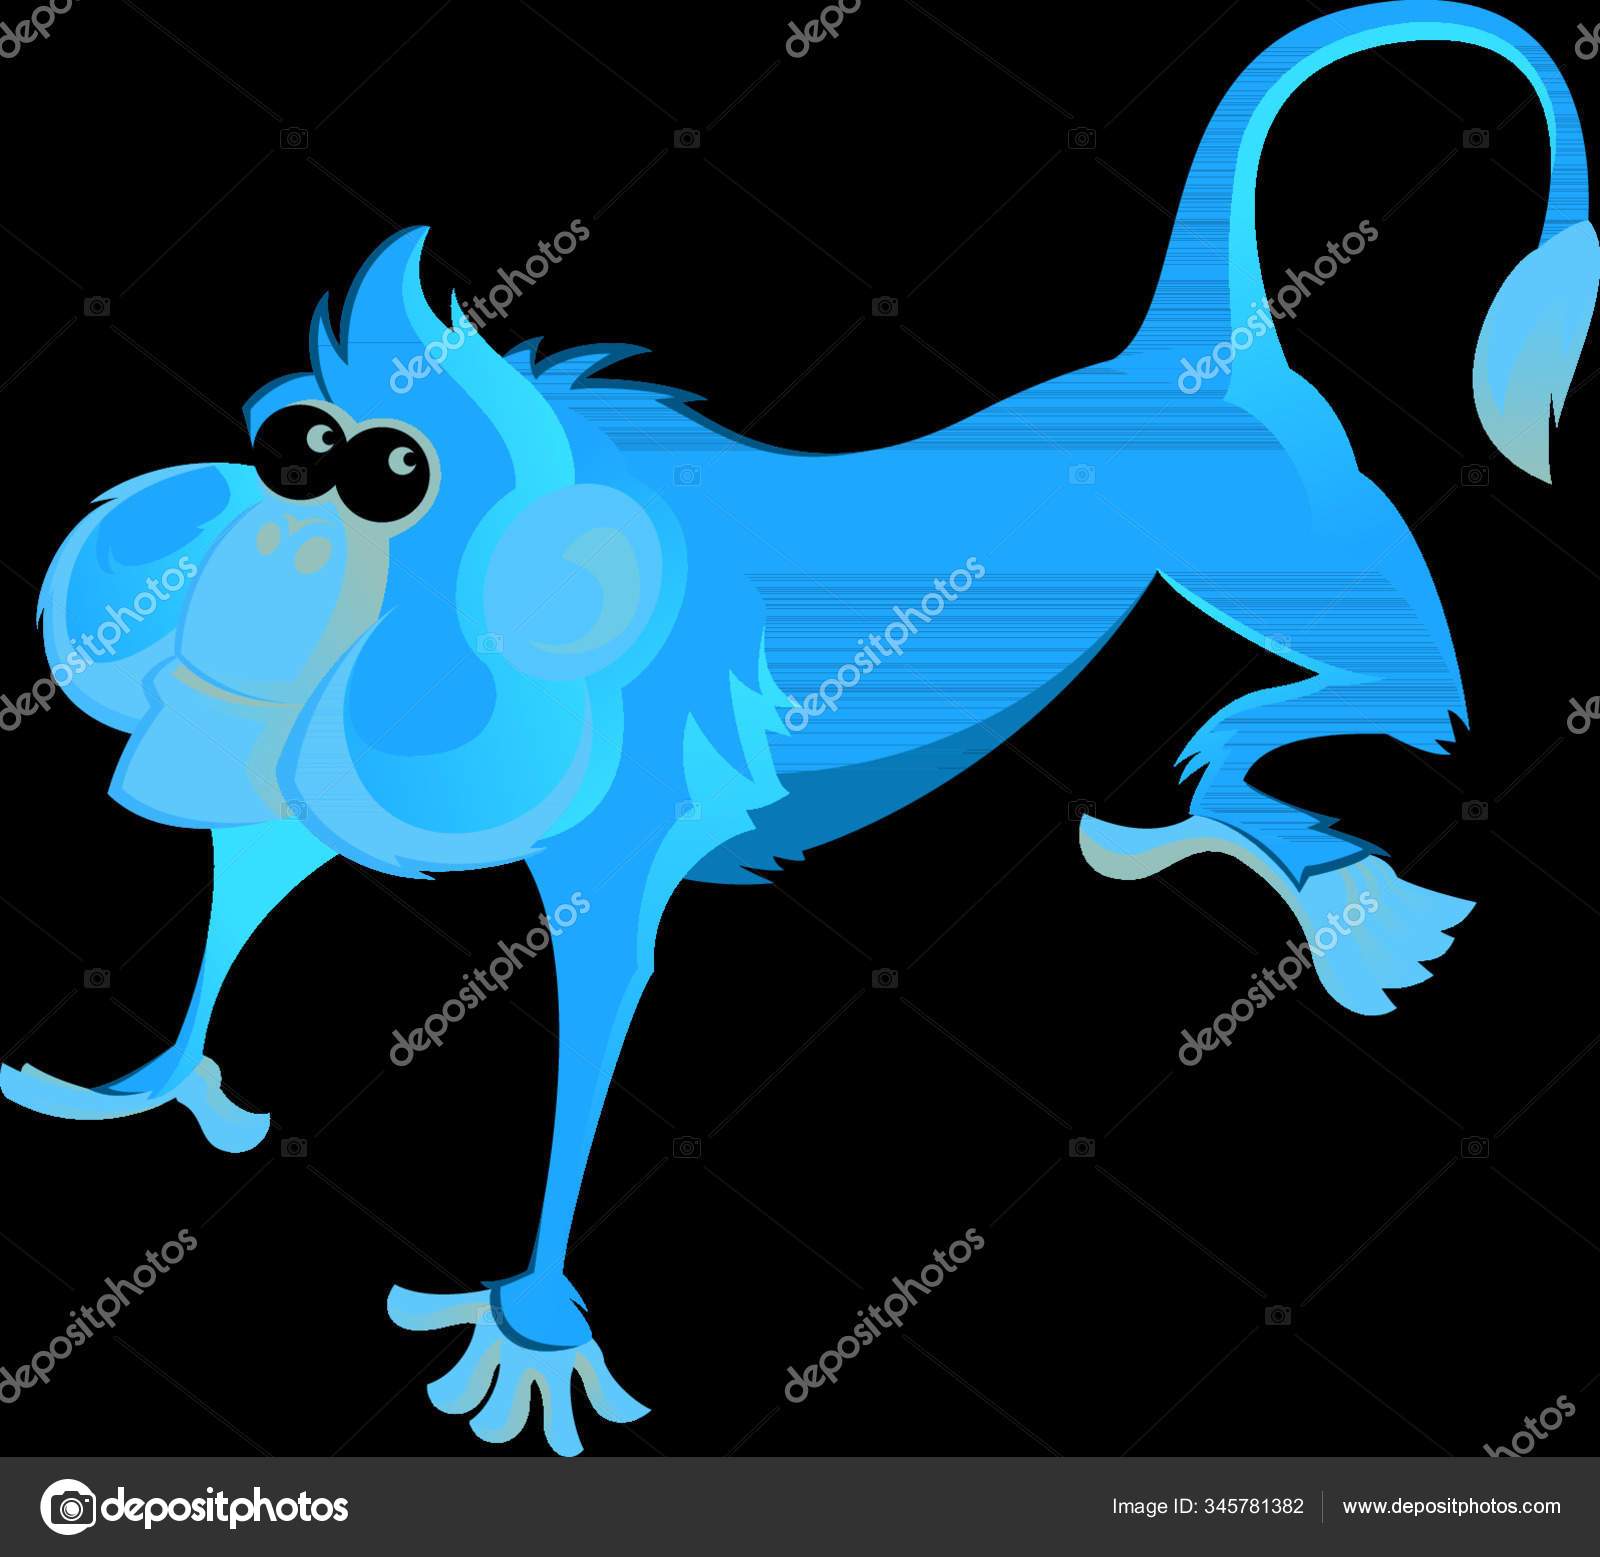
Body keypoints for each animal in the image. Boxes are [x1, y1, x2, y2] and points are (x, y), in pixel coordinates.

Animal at [5, 1, 1593, 1453]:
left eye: (390, 477)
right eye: (298, 450)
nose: (279, 537)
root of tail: (1181, 365)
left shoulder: (616, 828)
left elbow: (596, 1019)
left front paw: (530, 1329)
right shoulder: (296, 768)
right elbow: (246, 887)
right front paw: (155, 1083)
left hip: (1276, 539)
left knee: (1402, 698)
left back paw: (1288, 849)